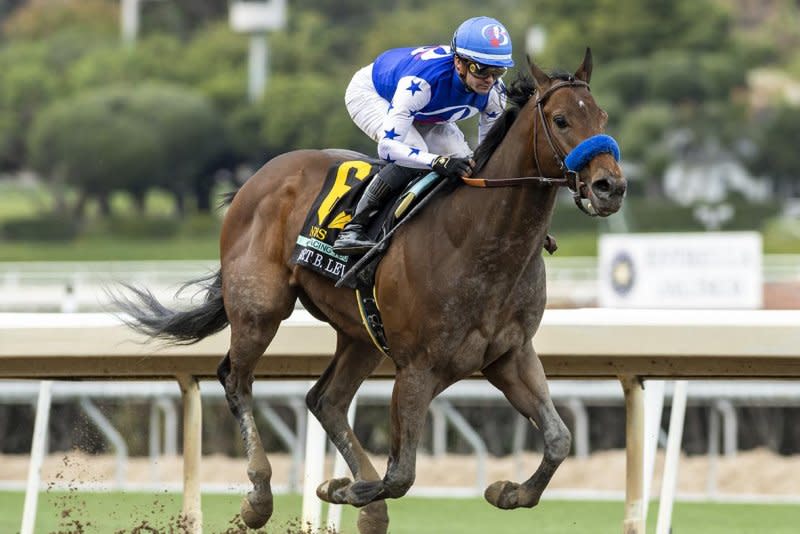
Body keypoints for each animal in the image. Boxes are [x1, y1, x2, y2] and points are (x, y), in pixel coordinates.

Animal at [117, 49, 624, 532]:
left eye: (602, 117)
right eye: (561, 120)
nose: (610, 186)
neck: (481, 241)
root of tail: (254, 180)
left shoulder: (509, 355)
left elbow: (559, 439)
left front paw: (508, 491)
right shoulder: (417, 368)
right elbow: (400, 475)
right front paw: (342, 488)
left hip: (359, 334)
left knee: (325, 400)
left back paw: (366, 507)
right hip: (260, 309)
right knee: (236, 380)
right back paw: (261, 498)